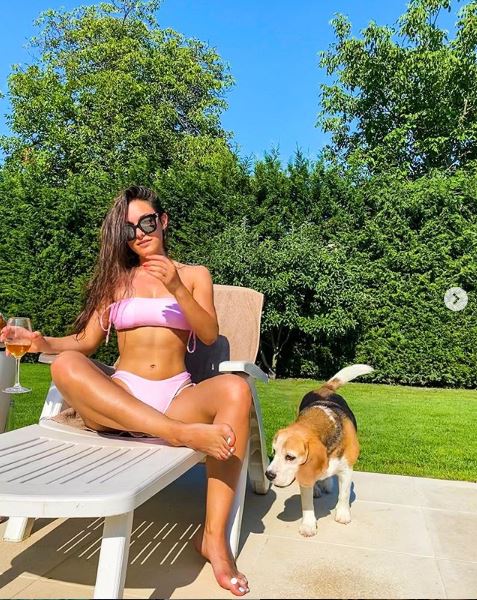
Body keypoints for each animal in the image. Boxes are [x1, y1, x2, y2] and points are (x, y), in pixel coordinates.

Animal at [265, 364, 374, 537]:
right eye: (274, 452)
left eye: (290, 457)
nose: (268, 475)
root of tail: (323, 389)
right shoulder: (305, 475)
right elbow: (307, 504)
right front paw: (308, 525)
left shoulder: (346, 469)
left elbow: (344, 494)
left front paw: (342, 514)